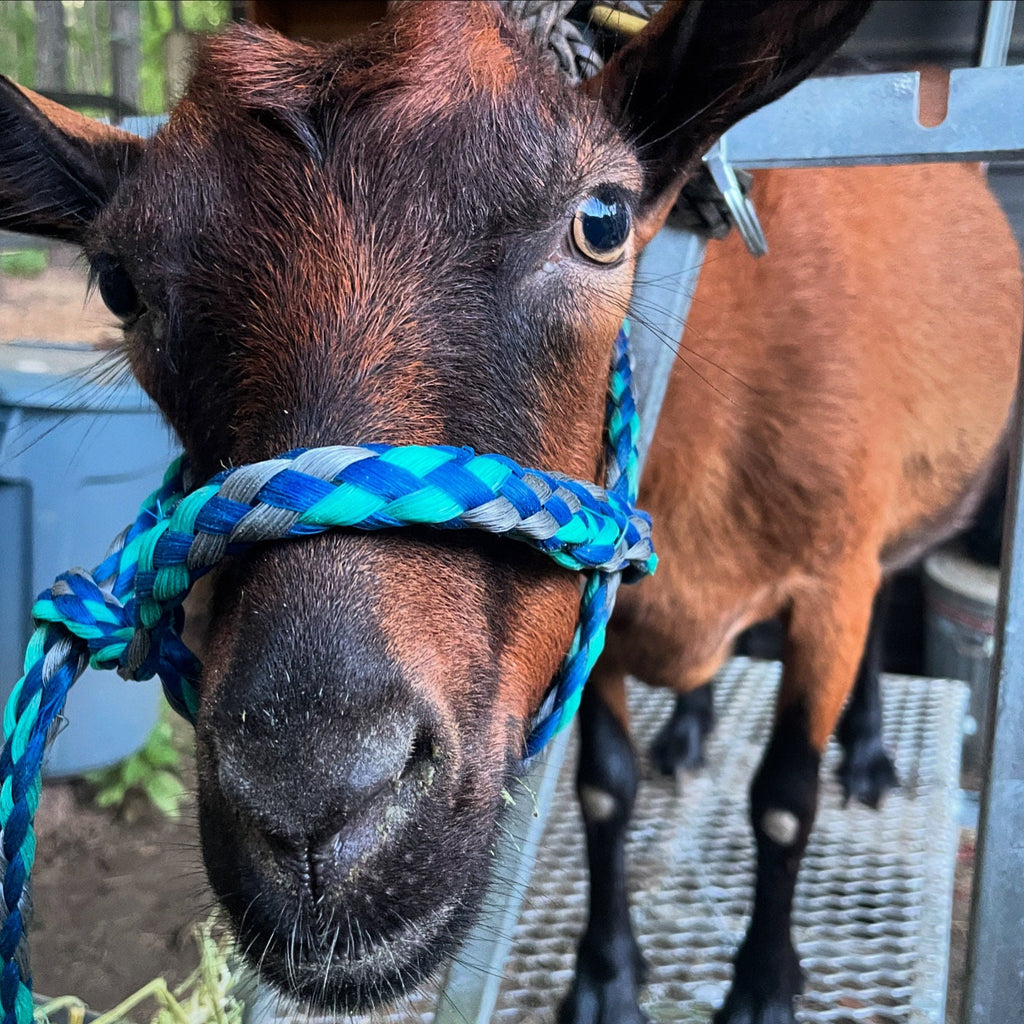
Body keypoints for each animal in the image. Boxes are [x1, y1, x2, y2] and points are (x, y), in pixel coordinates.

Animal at [1, 3, 1020, 1023]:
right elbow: (606, 790)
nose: (312, 802)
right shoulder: (598, 609)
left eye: (601, 219)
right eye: (122, 284)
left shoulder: (826, 585)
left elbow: (781, 803)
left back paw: (868, 753)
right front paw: (605, 975)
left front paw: (765, 987)